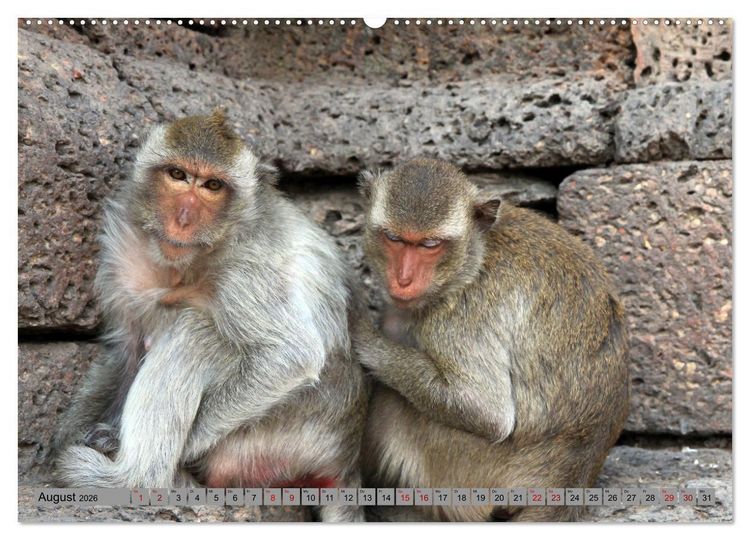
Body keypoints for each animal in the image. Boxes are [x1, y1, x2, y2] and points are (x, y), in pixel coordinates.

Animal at [50, 110, 367, 522]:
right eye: (178, 175)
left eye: (212, 185)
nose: (183, 218)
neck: (187, 264)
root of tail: (344, 457)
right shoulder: (122, 248)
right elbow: (125, 347)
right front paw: (70, 431)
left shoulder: (245, 267)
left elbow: (290, 356)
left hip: (276, 438)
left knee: (195, 332)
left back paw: (135, 478)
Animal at [353, 158, 629, 522]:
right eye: (394, 239)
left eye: (430, 245)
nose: (404, 279)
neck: (475, 257)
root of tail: (570, 480)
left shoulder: (464, 314)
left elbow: (487, 412)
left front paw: (366, 341)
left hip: (467, 473)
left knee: (395, 401)